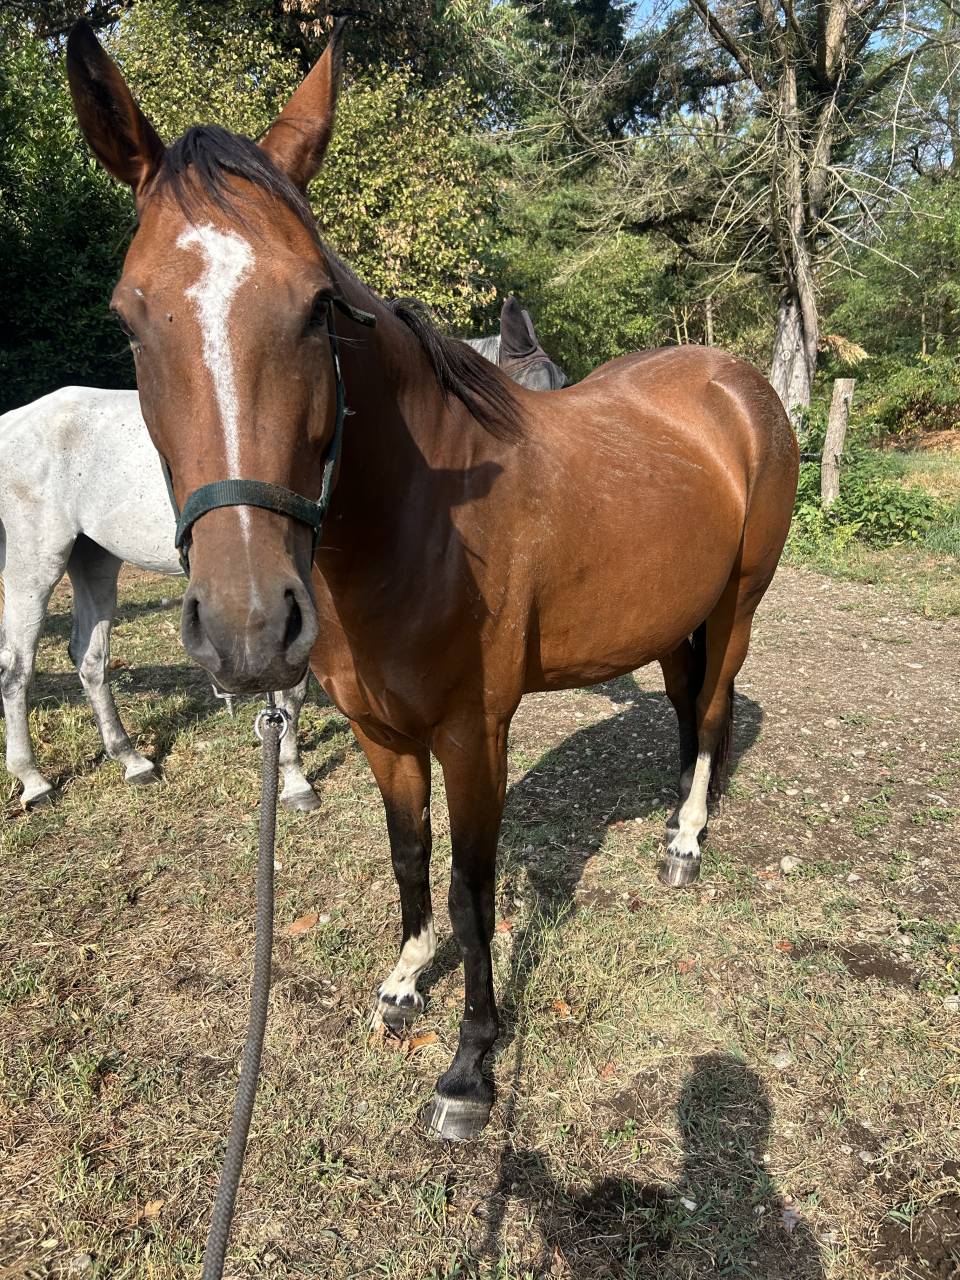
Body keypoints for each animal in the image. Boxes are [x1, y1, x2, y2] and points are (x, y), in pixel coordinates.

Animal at [0, 315, 563, 810]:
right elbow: (289, 691)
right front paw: (294, 781)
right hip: (35, 562)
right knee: (17, 667)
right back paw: (34, 781)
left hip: (94, 558)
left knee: (89, 658)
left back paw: (131, 759)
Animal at [66, 19, 799, 1140]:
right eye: (127, 316)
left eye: (318, 306)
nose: (245, 628)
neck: (415, 529)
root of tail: (733, 381)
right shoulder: (381, 729)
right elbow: (408, 857)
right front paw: (406, 981)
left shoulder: (472, 730)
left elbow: (469, 883)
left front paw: (469, 1067)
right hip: (678, 612)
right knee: (686, 709)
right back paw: (685, 809)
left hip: (741, 600)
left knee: (714, 709)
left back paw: (684, 840)